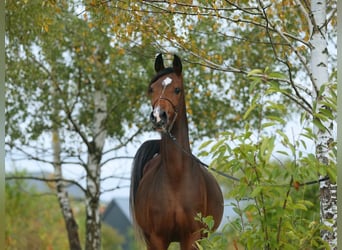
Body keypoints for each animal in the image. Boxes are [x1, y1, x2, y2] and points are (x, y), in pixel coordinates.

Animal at [130, 53, 223, 249]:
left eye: (177, 89)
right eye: (151, 89)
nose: (158, 117)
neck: (176, 179)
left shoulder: (192, 237)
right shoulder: (157, 238)